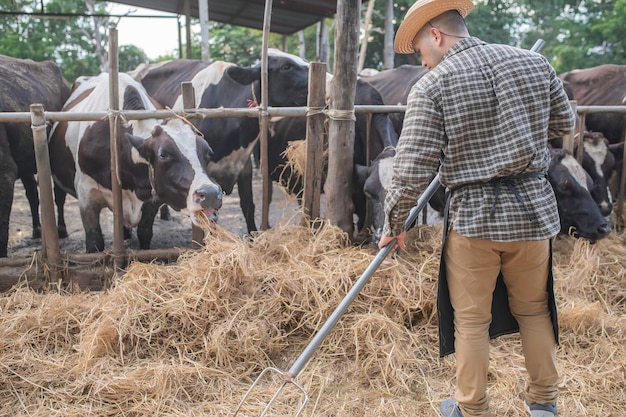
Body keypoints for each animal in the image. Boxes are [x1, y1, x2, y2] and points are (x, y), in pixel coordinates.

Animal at [48, 72, 221, 252]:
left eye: (208, 152)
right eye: (163, 154)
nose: (210, 194)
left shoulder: (151, 198)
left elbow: (144, 234)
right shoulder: (86, 195)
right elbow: (94, 241)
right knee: (59, 199)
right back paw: (62, 230)